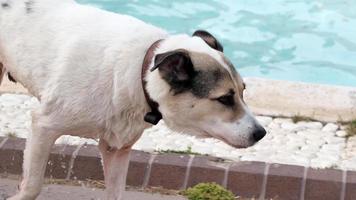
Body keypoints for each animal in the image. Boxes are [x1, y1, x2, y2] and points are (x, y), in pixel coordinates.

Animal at [0, 0, 266, 199]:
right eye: (224, 99)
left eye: (243, 91)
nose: (261, 133)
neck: (140, 71)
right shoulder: (43, 126)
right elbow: (32, 186)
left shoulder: (117, 148)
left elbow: (116, 192)